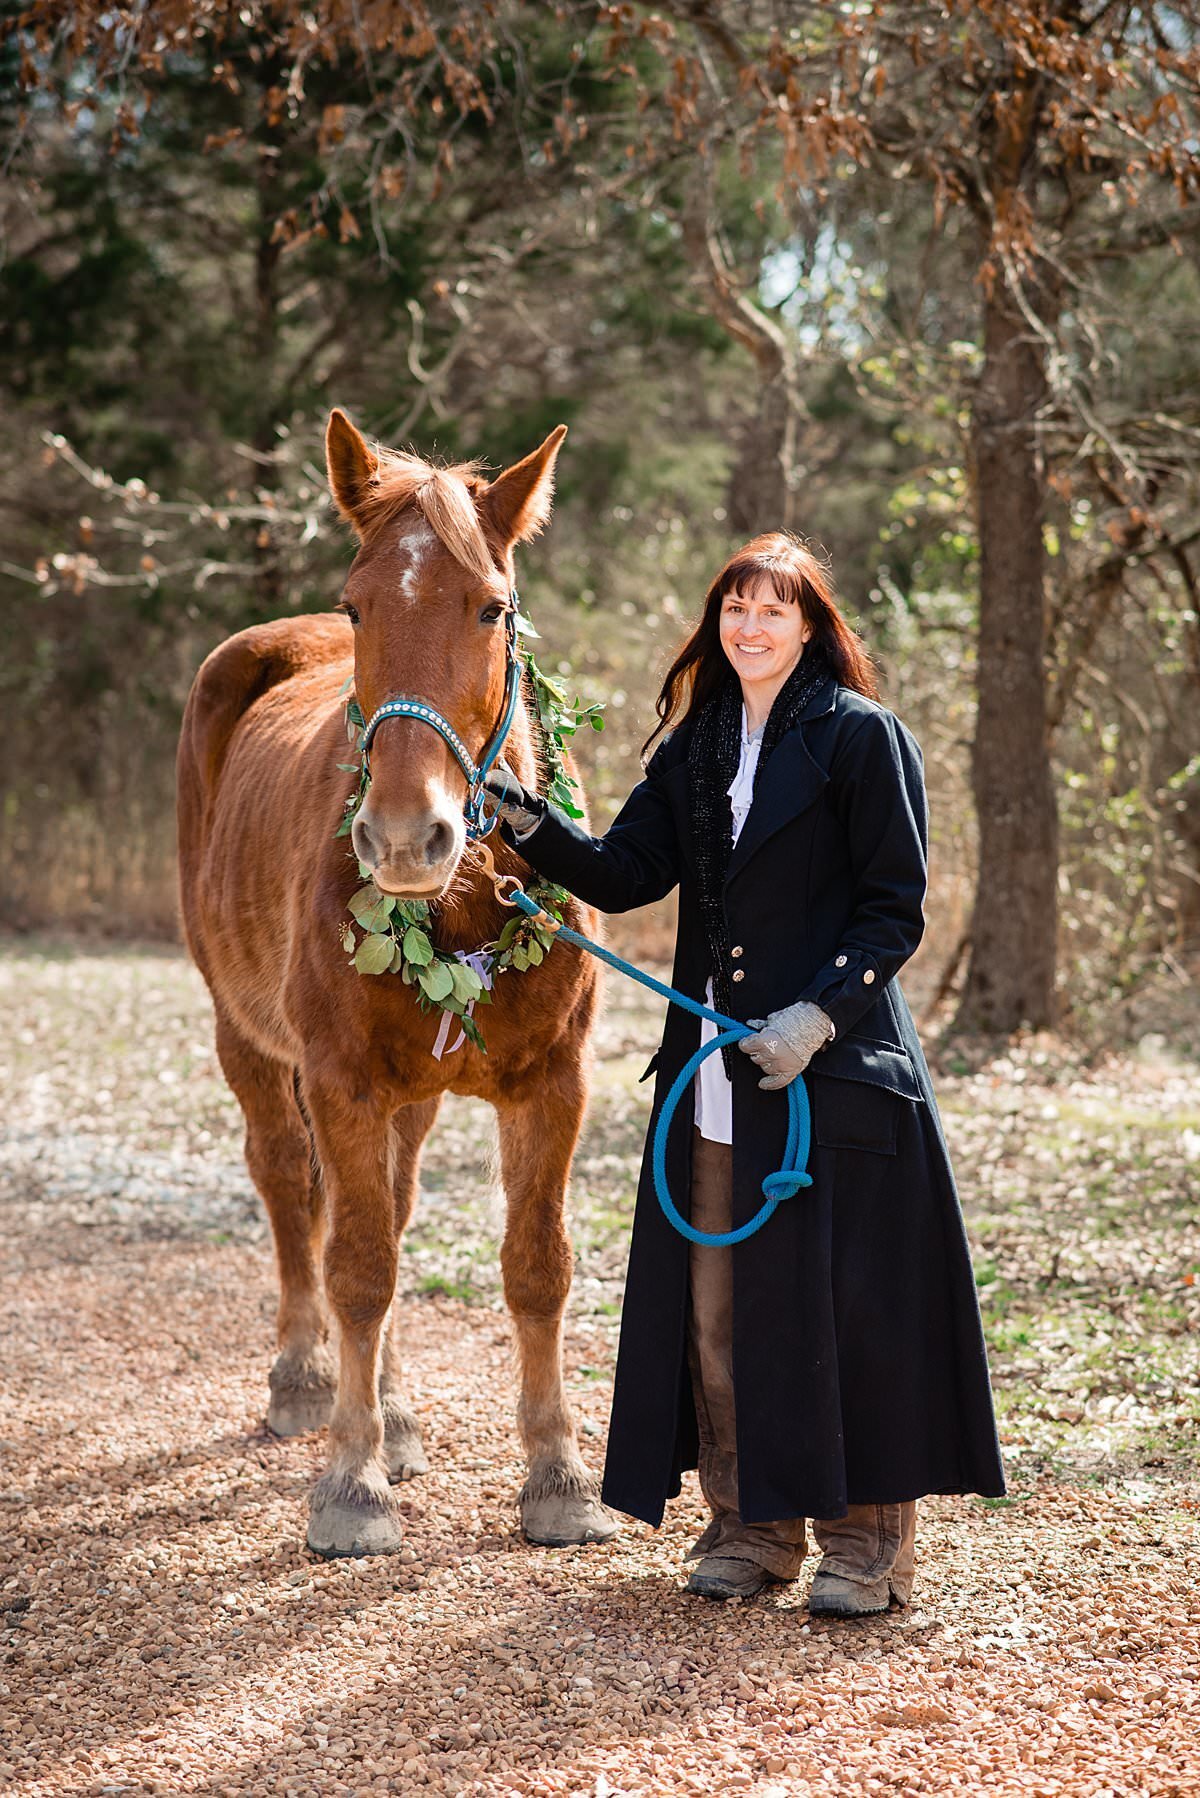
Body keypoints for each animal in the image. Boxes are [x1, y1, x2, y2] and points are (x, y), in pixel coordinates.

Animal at [178, 411, 615, 1560]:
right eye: (356, 605)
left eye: (492, 606)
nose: (409, 837)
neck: (462, 902)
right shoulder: (337, 1080)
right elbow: (358, 1267)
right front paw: (352, 1481)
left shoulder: (555, 1086)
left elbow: (536, 1265)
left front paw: (557, 1474)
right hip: (248, 1040)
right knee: (294, 1192)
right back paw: (306, 1382)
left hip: (408, 1098)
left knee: (388, 1206)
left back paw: (397, 1410)